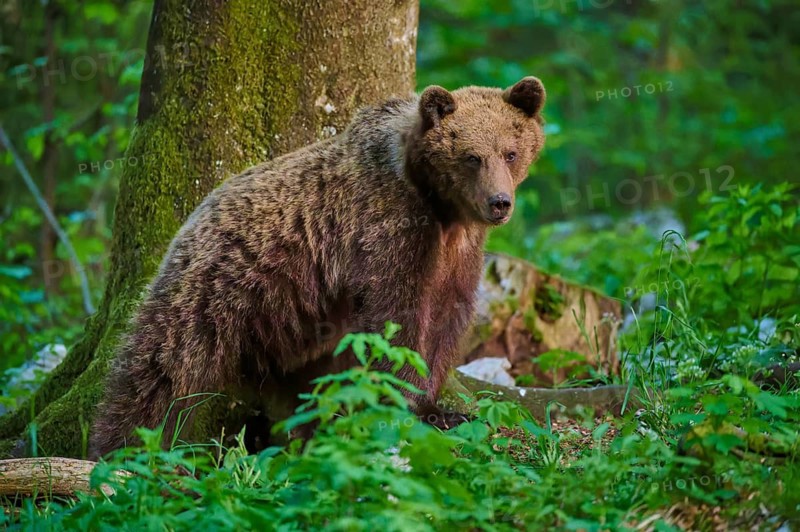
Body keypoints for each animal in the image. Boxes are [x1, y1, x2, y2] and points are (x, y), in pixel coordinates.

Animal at [89, 76, 547, 459]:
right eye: (472, 157)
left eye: (510, 152)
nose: (499, 203)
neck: (442, 210)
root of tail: (194, 215)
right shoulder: (387, 229)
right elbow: (396, 321)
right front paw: (416, 407)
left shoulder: (458, 255)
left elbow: (446, 322)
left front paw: (442, 408)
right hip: (217, 284)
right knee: (161, 367)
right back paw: (121, 447)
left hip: (295, 329)